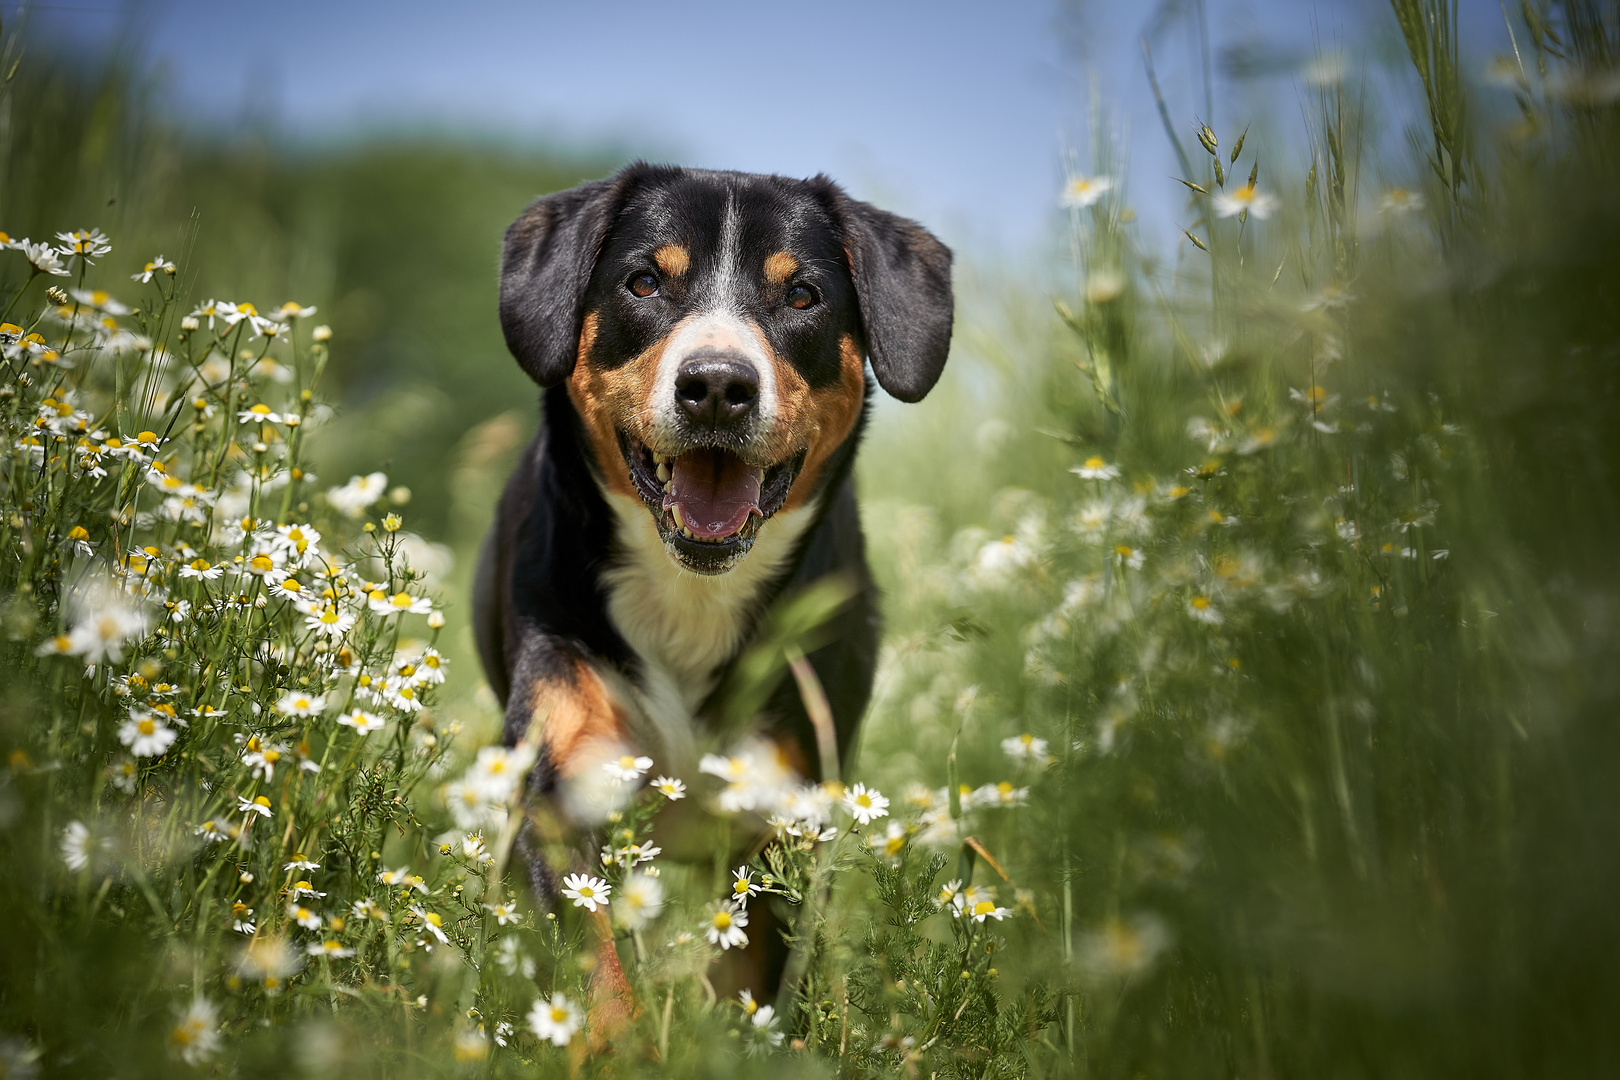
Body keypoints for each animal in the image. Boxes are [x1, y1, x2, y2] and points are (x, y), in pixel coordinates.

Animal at [473, 165, 946, 1010]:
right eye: (644, 282)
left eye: (802, 295)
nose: (718, 384)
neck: (690, 599)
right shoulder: (565, 777)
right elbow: (599, 979)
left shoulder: (784, 809)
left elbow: (751, 982)